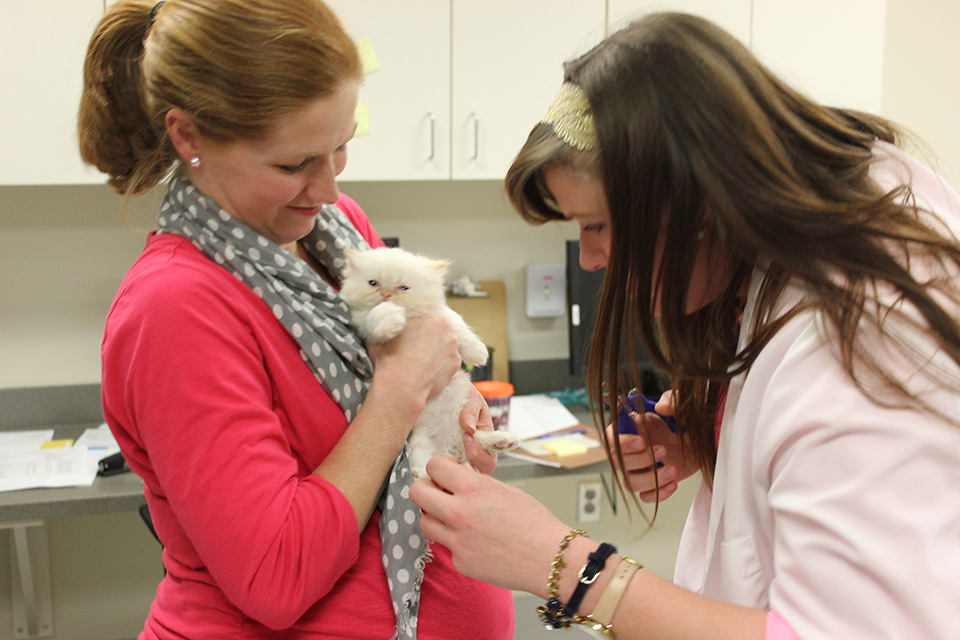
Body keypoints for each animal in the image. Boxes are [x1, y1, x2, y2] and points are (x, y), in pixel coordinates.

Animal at [342, 248, 520, 478]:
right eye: (373, 283)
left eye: (403, 287)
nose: (386, 294)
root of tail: (451, 446)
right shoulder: (364, 323)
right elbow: (378, 313)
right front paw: (392, 321)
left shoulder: (440, 314)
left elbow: (458, 324)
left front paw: (477, 352)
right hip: (421, 444)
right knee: (427, 467)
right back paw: (420, 473)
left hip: (461, 428)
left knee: (476, 439)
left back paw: (501, 440)